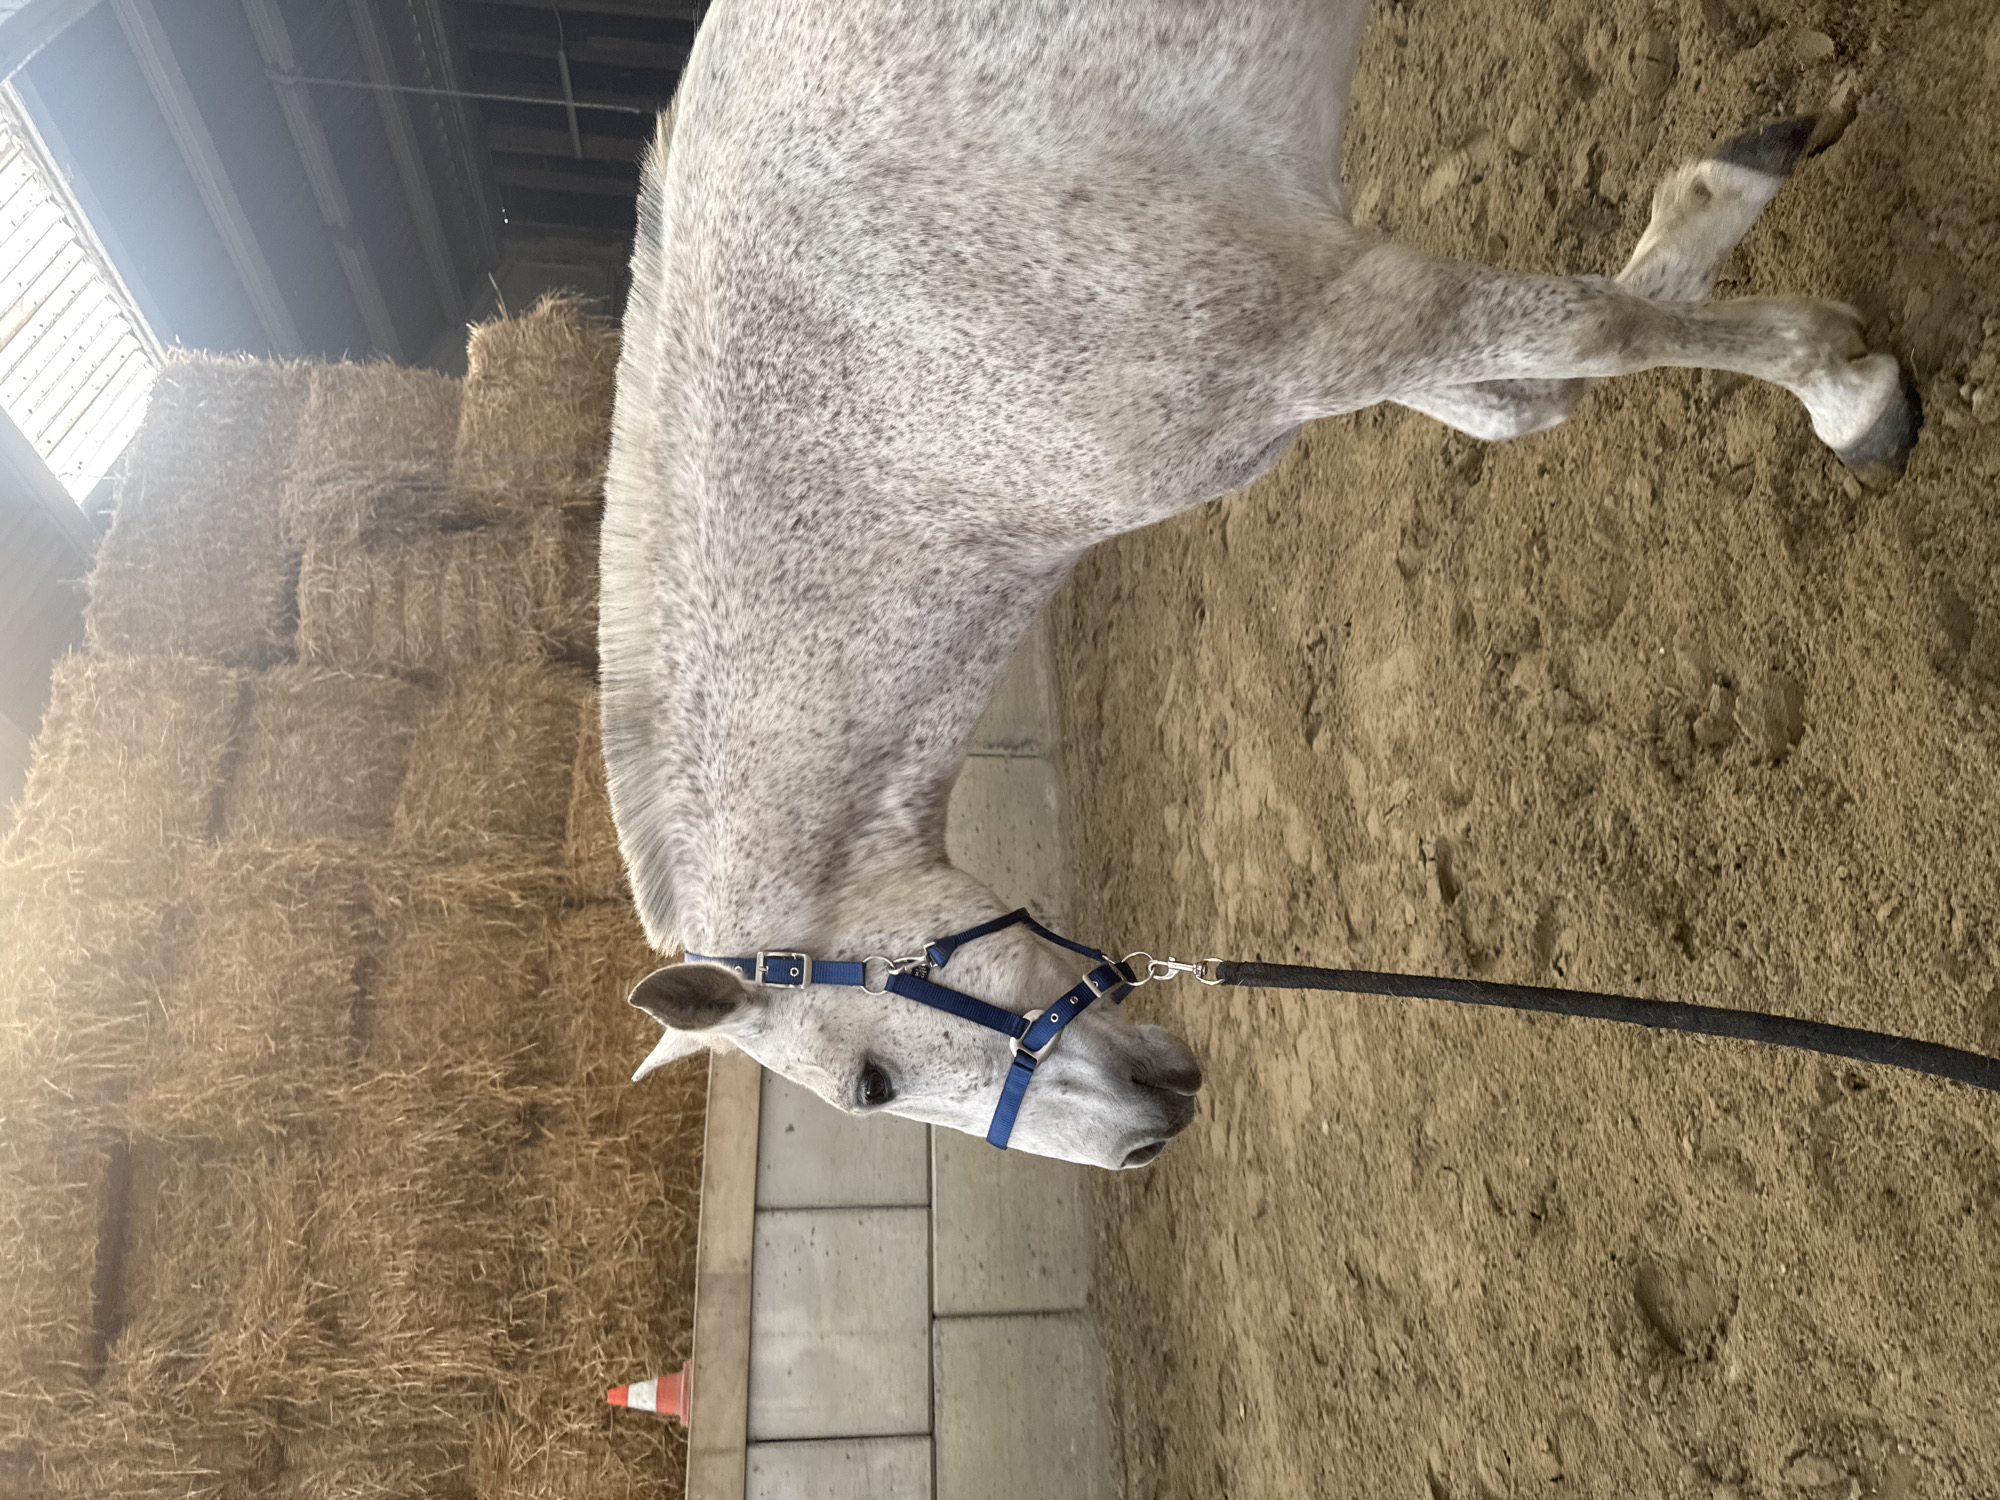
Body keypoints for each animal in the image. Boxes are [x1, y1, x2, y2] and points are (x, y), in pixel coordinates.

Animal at [598, 0, 1921, 1170]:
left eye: (871, 1086)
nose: (1144, 1147)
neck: (902, 413)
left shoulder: (1332, 317)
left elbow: (1591, 331)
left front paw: (1843, 389)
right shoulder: (1336, 345)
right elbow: (1530, 395)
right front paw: (1739, 213)